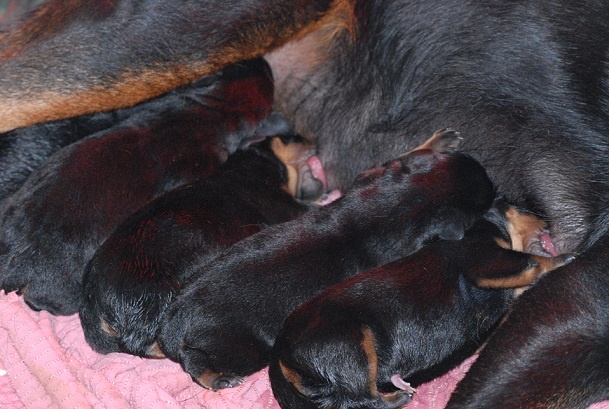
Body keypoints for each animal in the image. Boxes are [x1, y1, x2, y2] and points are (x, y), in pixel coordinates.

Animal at [79, 136, 318, 356]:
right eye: (291, 137)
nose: (314, 143)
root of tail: (90, 304)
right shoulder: (284, 204)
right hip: (153, 298)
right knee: (138, 342)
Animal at [159, 129, 496, 390]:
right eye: (488, 197)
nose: (496, 186)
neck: (405, 202)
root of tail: (172, 321)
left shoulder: (371, 178)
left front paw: (438, 141)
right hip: (238, 348)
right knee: (195, 362)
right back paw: (217, 378)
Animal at [270, 204, 576, 408]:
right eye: (518, 206)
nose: (546, 220)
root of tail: (280, 348)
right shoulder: (485, 258)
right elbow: (532, 262)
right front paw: (564, 258)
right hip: (351, 348)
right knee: (362, 398)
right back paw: (399, 396)